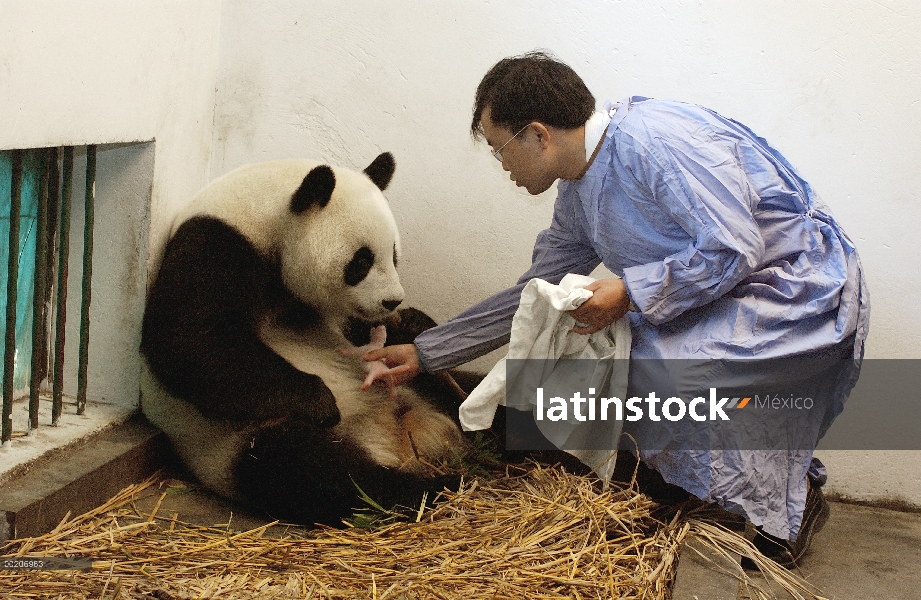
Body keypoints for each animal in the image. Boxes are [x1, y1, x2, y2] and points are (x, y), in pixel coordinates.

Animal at [140, 154, 468, 524]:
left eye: (394, 255)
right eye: (362, 261)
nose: (392, 301)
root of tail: (390, 441)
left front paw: (412, 321)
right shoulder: (217, 246)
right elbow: (190, 340)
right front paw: (321, 401)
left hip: (410, 389)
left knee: (443, 391)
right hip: (232, 443)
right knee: (308, 468)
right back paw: (428, 488)